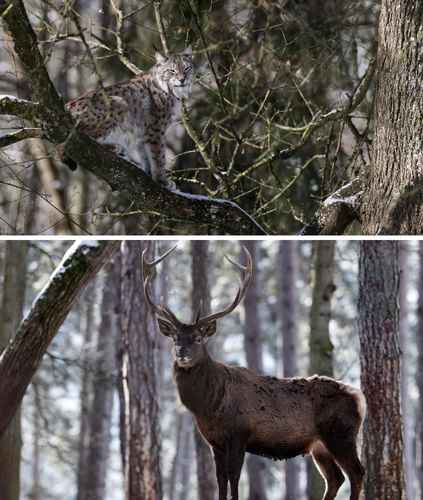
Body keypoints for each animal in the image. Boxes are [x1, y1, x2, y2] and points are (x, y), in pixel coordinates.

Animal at [141, 247, 366, 500]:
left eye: (198, 338)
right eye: (175, 338)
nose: (181, 353)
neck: (209, 406)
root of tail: (360, 397)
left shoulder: (239, 434)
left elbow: (234, 479)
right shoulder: (214, 442)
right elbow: (221, 481)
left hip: (341, 434)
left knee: (356, 473)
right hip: (319, 446)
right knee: (335, 478)